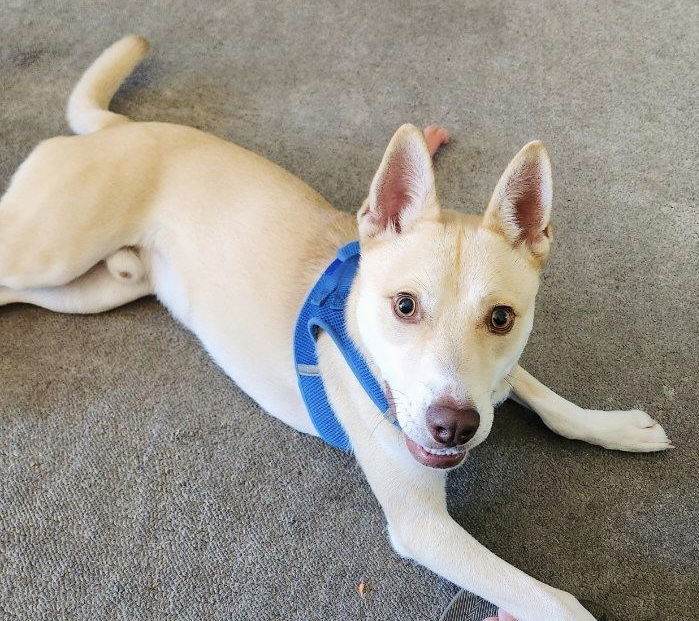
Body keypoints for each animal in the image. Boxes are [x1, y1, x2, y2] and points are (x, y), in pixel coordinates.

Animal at [2, 37, 676, 620]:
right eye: (404, 306)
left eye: (502, 317)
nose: (454, 427)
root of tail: (118, 127)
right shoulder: (421, 525)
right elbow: (555, 600)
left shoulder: (498, 381)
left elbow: (543, 397)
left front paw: (614, 427)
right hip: (51, 248)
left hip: (92, 290)